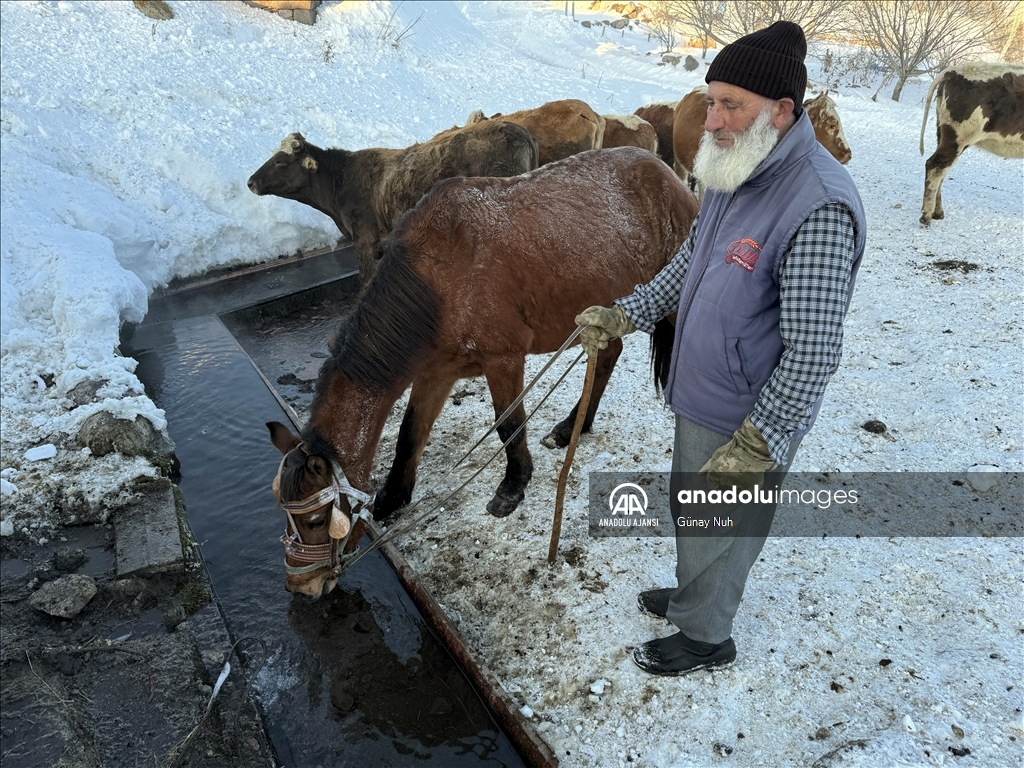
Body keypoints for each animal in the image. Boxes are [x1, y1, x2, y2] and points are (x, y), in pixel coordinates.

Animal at [248, 121, 540, 284]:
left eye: (281, 161)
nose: (250, 181)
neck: (342, 181)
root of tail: (515, 128)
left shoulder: (365, 241)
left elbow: (364, 282)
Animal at [266, 147, 696, 598]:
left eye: (316, 519)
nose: (302, 585)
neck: (440, 281)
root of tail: (667, 174)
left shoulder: (503, 360)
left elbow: (509, 425)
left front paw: (513, 485)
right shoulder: (435, 373)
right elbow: (409, 435)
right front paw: (392, 497)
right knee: (609, 354)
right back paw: (571, 428)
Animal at [921, 62, 1024, 225]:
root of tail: (953, 71)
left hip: (944, 134)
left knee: (941, 170)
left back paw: (938, 212)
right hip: (958, 137)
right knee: (936, 165)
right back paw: (926, 216)